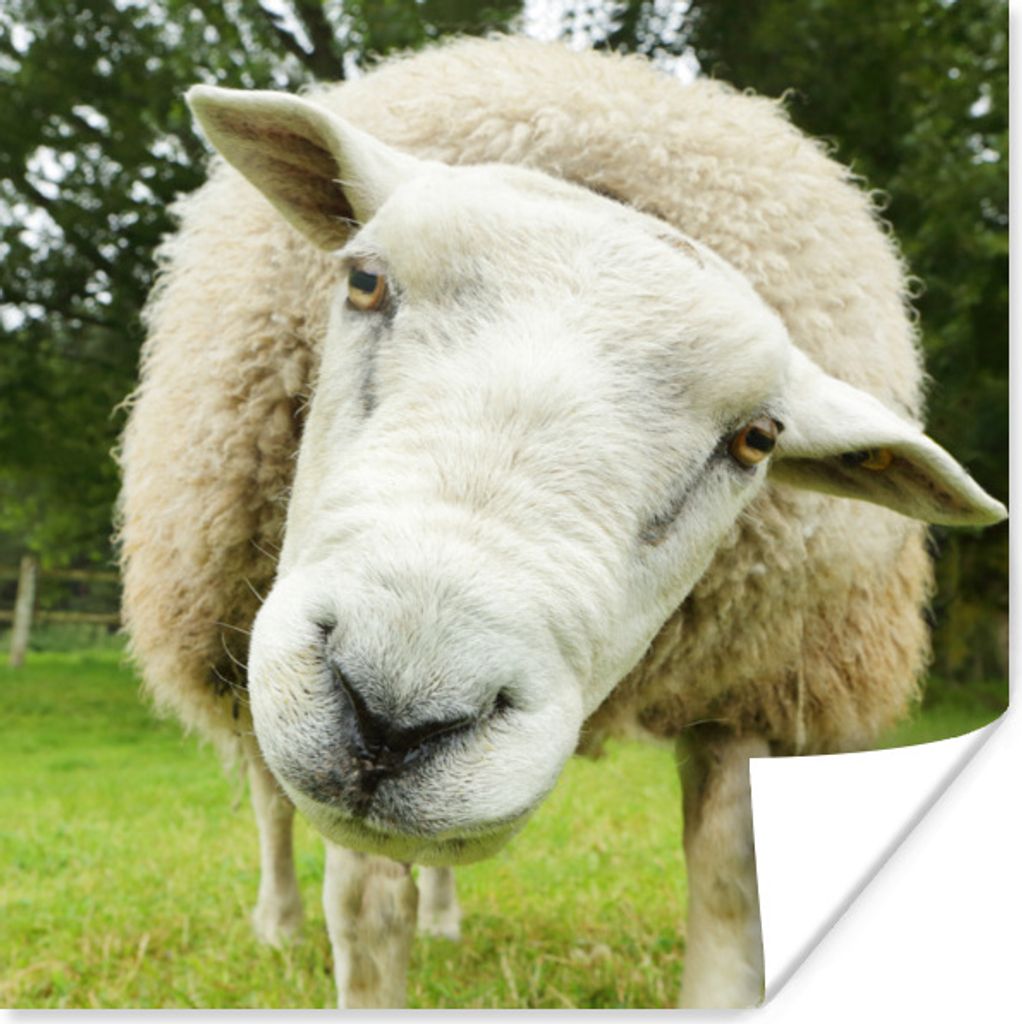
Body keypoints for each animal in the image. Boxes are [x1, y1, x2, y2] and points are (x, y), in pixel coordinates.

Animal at [117, 35, 1005, 1009]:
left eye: (757, 439)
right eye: (365, 280)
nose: (396, 716)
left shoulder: (753, 689)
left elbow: (732, 892)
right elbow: (363, 908)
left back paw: (444, 915)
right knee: (268, 794)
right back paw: (278, 923)